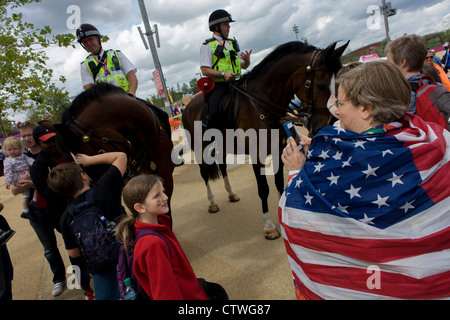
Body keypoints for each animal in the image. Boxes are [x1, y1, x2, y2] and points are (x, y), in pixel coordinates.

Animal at [181, 41, 350, 239]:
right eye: (322, 85)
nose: (327, 123)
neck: (261, 104)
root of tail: (188, 106)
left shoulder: (278, 150)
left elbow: (279, 183)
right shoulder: (258, 156)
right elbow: (264, 189)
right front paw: (269, 226)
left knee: (222, 167)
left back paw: (231, 193)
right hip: (199, 148)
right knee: (204, 173)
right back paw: (212, 203)